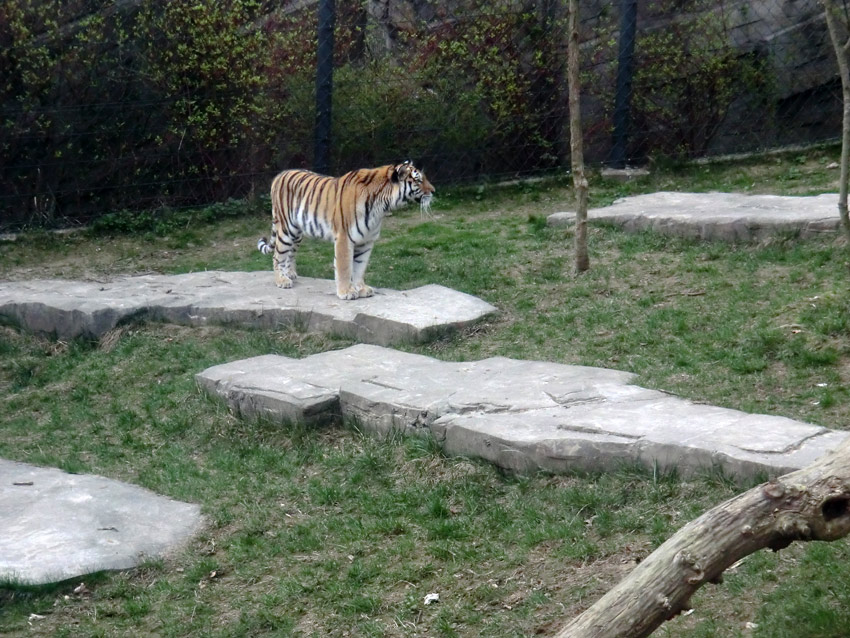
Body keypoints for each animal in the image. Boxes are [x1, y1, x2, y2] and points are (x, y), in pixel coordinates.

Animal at [255, 160, 434, 300]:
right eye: (418, 180)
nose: (433, 191)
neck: (382, 206)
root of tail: (280, 175)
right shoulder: (344, 237)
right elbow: (345, 267)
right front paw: (346, 292)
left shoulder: (367, 241)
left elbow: (360, 267)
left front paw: (361, 289)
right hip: (286, 228)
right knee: (278, 255)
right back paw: (282, 280)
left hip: (297, 232)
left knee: (290, 253)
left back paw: (290, 273)